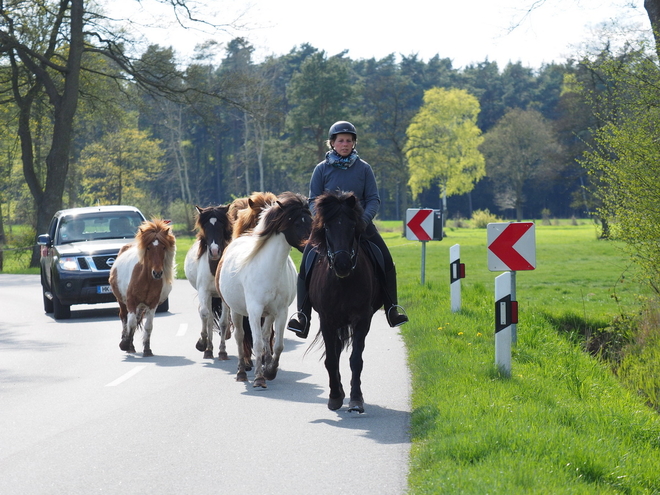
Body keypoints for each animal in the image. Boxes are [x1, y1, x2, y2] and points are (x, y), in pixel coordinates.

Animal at [111, 220, 178, 356]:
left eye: (163, 247)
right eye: (148, 247)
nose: (157, 273)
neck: (146, 279)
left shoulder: (152, 305)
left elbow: (148, 326)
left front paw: (147, 349)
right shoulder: (131, 302)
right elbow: (130, 323)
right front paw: (125, 344)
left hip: (140, 306)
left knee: (136, 320)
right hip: (122, 301)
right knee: (124, 317)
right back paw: (127, 343)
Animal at [215, 192, 310, 390]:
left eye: (312, 220)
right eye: (297, 223)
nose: (312, 244)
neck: (269, 268)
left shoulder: (280, 312)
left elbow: (278, 344)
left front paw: (270, 370)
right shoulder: (254, 311)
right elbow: (257, 343)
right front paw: (259, 378)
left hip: (269, 314)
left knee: (267, 336)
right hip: (236, 311)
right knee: (240, 336)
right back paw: (241, 372)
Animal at [308, 191, 382, 414]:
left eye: (351, 226)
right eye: (327, 228)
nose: (342, 264)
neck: (342, 282)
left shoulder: (362, 319)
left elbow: (356, 359)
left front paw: (356, 399)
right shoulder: (326, 319)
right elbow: (331, 359)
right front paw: (334, 397)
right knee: (336, 351)